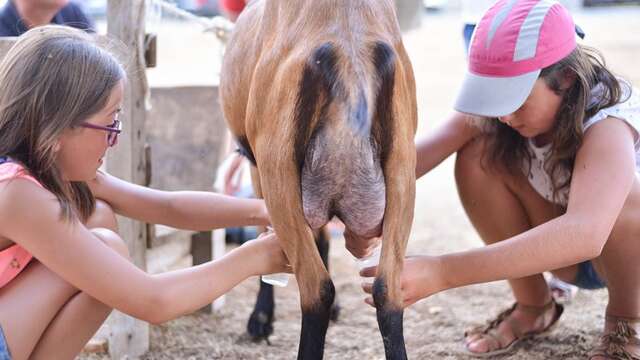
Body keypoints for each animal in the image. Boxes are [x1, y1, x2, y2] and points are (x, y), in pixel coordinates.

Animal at [220, 1, 418, 358]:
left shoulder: (262, 170)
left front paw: (261, 318)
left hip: (278, 177)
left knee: (316, 289)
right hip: (402, 174)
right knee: (387, 290)